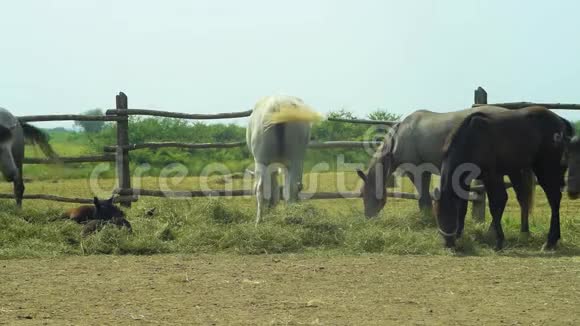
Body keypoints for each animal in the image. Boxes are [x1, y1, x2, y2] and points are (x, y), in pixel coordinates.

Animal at [247, 95, 324, 224]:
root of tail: (278, 104)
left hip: (265, 160)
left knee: (265, 188)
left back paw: (261, 221)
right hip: (293, 159)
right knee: (290, 187)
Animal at [358, 105, 536, 233]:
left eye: (366, 194)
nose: (368, 217)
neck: (399, 136)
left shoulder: (416, 170)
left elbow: (424, 198)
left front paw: (428, 221)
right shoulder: (425, 171)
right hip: (514, 170)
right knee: (522, 198)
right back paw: (524, 231)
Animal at [436, 107, 576, 250]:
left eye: (449, 213)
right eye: (437, 215)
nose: (448, 243)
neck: (473, 138)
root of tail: (561, 122)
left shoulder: (492, 176)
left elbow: (496, 204)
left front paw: (499, 240)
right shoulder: (467, 179)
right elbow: (463, 206)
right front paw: (460, 234)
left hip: (546, 172)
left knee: (554, 200)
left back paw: (550, 242)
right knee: (527, 199)